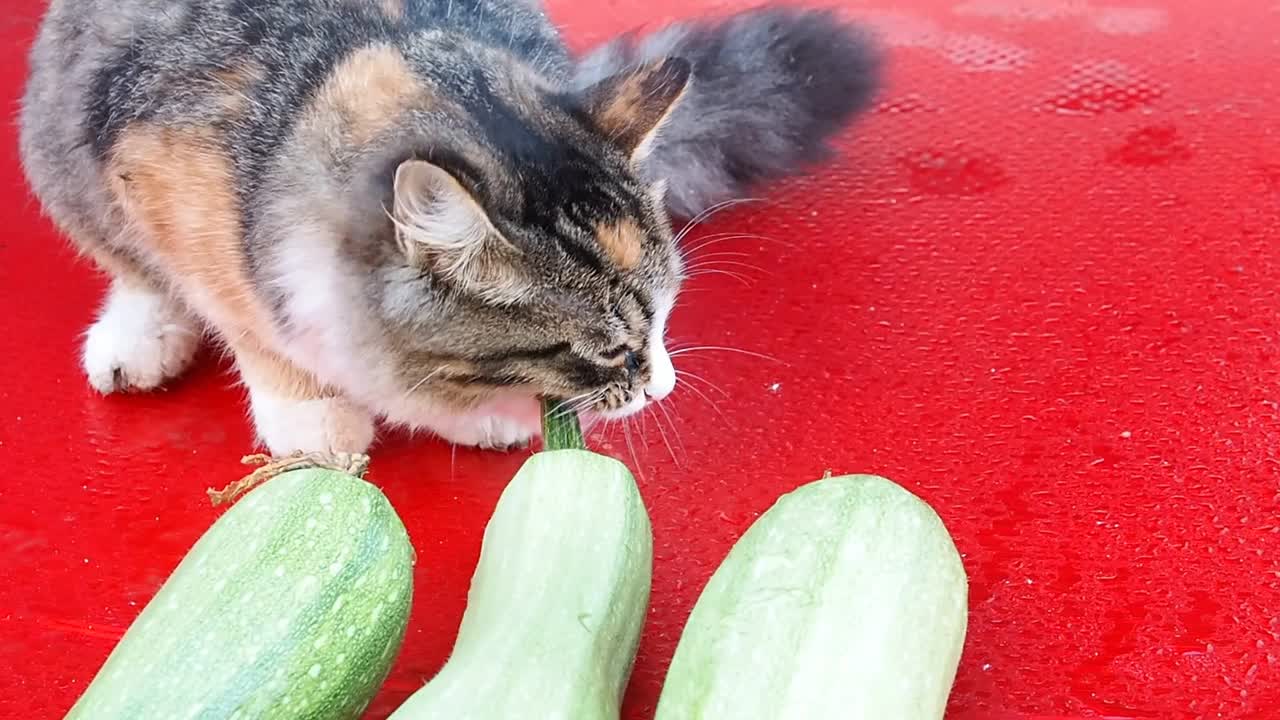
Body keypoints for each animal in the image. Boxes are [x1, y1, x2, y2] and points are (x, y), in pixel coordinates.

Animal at [17, 0, 880, 453]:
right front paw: (313, 414)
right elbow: (251, 324)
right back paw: (139, 337)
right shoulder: (166, 187)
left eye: (669, 320)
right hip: (63, 154)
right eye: (609, 353)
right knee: (134, 269)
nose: (662, 385)